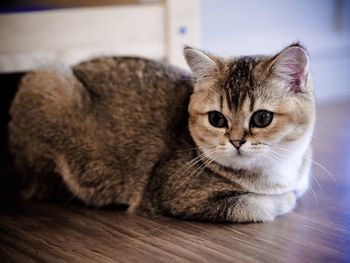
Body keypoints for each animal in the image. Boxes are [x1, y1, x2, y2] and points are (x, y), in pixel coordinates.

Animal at [8, 42, 314, 223]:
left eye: (262, 118)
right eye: (216, 118)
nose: (236, 141)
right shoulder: (175, 196)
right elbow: (261, 205)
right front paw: (282, 199)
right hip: (46, 83)